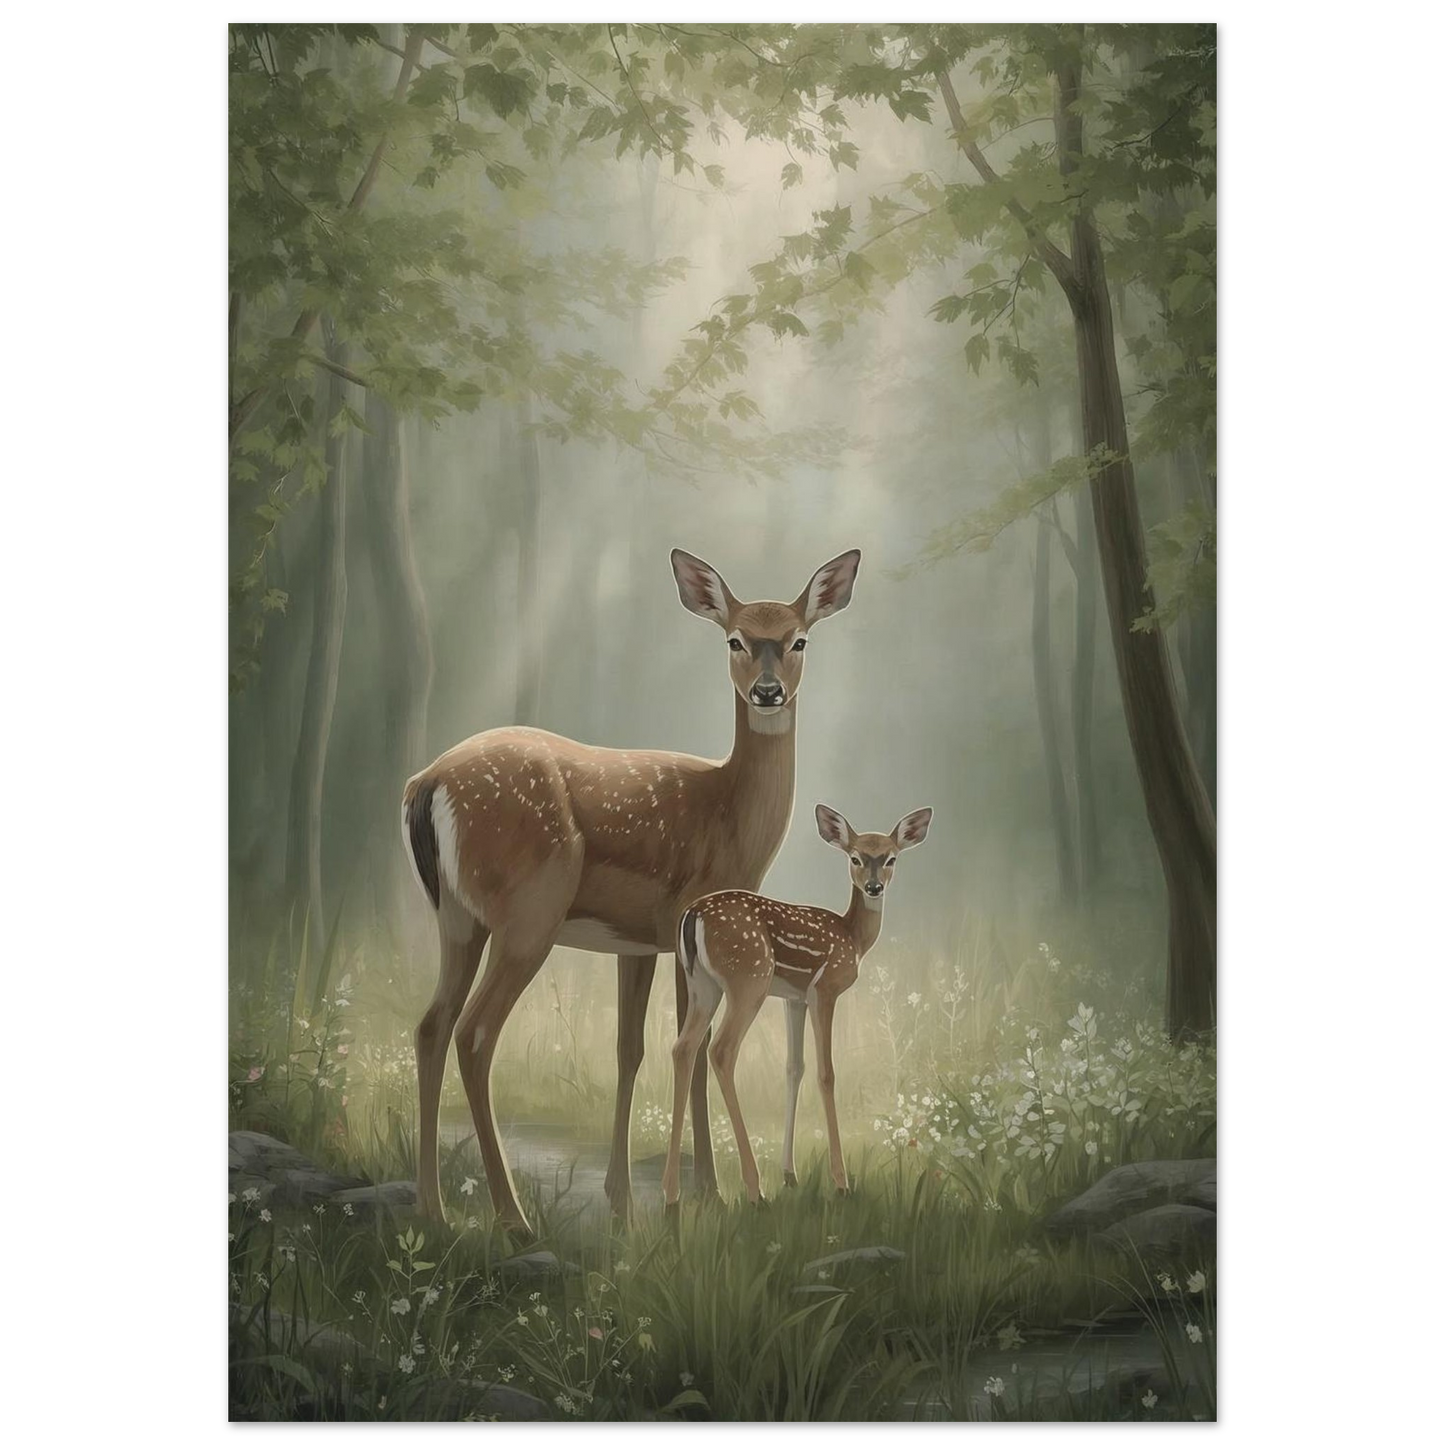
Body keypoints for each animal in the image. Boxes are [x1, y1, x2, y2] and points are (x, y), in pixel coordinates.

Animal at [400, 547, 862, 1238]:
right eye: (734, 639)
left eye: (799, 638)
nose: (768, 691)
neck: (729, 816)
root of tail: (424, 784)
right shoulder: (686, 916)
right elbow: (692, 1051)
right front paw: (708, 1194)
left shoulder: (637, 941)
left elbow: (628, 1051)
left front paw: (622, 1203)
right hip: (528, 913)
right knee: (475, 1034)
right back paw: (513, 1217)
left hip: (456, 916)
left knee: (432, 1025)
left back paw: (432, 1209)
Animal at [662, 802, 934, 1213]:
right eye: (855, 857)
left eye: (891, 858)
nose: (874, 887)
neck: (853, 938)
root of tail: (691, 916)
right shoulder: (825, 989)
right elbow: (826, 1073)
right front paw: (841, 1183)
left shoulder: (795, 998)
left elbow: (794, 1068)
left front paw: (790, 1175)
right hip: (748, 980)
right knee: (721, 1050)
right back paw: (754, 1190)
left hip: (701, 985)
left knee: (683, 1048)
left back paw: (672, 1195)